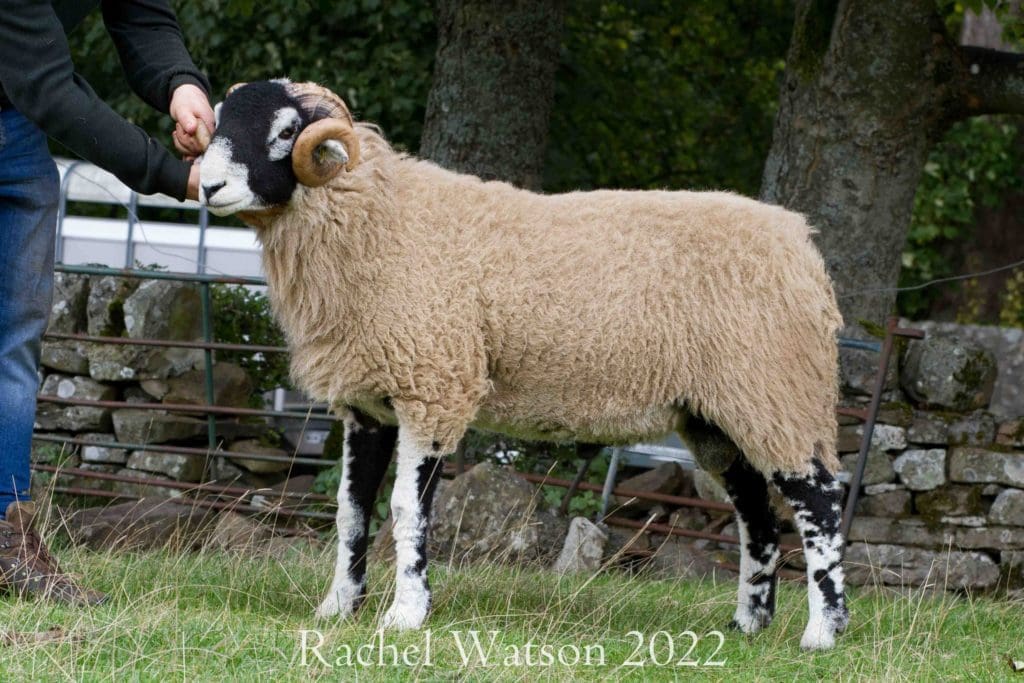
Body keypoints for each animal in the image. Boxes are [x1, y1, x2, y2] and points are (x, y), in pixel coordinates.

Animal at [197, 80, 847, 651]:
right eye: (219, 121)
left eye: (286, 131)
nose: (207, 186)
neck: (383, 221)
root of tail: (800, 241)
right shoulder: (368, 403)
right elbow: (351, 509)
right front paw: (338, 607)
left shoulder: (436, 385)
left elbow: (406, 509)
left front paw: (406, 614)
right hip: (718, 413)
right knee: (757, 514)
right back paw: (748, 626)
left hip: (777, 387)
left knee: (819, 499)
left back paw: (822, 633)